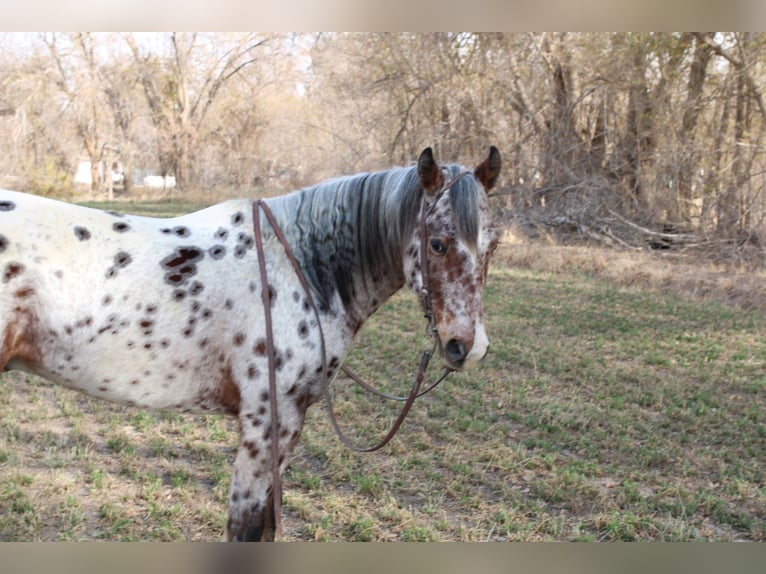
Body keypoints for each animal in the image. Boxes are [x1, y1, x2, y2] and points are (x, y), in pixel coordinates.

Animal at [0, 146, 504, 544]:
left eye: (493, 244)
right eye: (437, 243)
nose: (467, 346)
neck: (300, 267)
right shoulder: (267, 425)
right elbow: (246, 529)